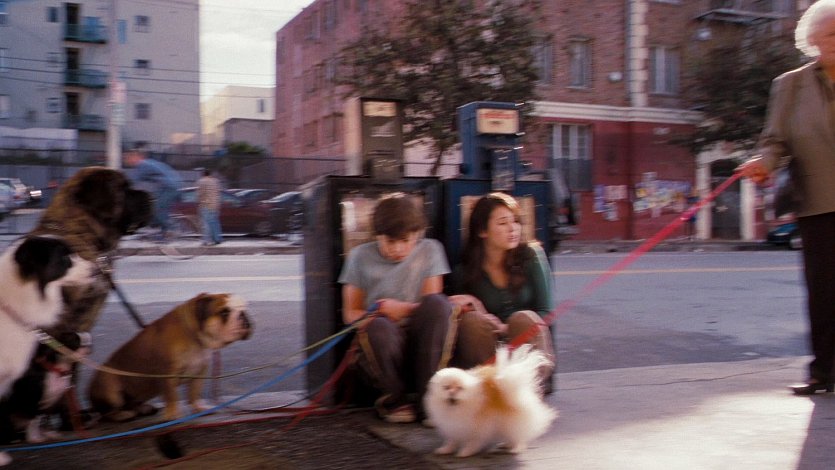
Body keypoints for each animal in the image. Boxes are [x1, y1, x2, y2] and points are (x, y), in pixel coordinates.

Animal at [88, 293, 253, 422]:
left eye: (244, 307)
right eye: (224, 312)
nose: (243, 315)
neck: (194, 337)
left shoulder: (199, 371)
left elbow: (194, 392)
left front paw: (198, 408)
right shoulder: (167, 373)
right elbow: (171, 395)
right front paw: (173, 414)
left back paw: (143, 408)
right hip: (109, 388)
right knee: (107, 413)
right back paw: (123, 415)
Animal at [423, 345, 557, 458]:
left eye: (460, 388)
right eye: (446, 387)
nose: (452, 392)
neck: (456, 408)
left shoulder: (477, 427)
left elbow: (473, 442)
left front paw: (466, 452)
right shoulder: (453, 426)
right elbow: (452, 440)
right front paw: (446, 449)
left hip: (511, 421)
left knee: (518, 436)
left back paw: (515, 449)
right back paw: (506, 445)